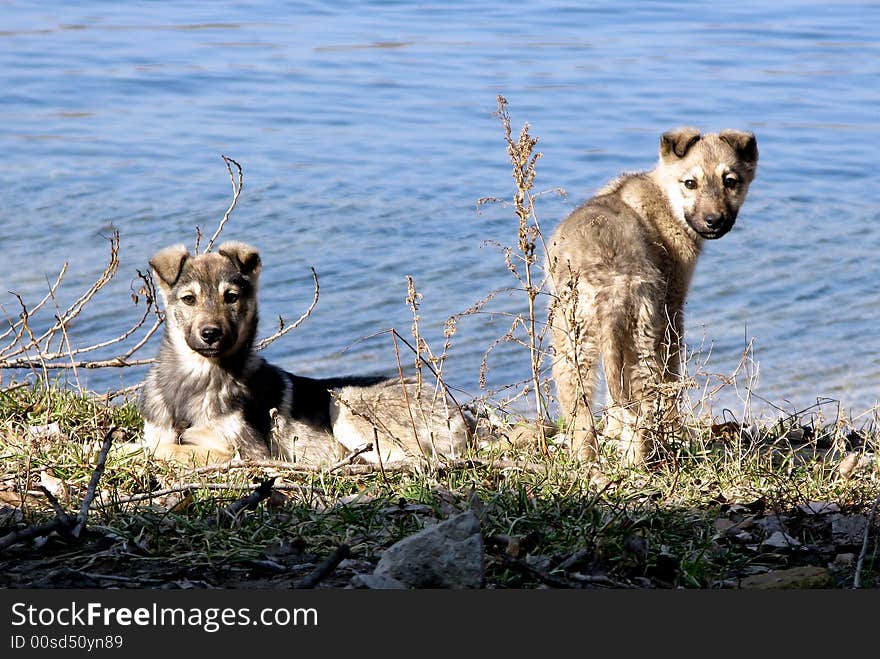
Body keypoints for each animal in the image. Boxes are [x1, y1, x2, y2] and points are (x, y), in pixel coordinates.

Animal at [139, 241, 474, 464]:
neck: (196, 378)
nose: (210, 334)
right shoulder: (157, 431)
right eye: (189, 299)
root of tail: (464, 417)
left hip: (345, 403)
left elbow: (171, 449)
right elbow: (152, 444)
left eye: (231, 297)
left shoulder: (251, 451)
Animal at [544, 129, 756, 466]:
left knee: (587, 413)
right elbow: (671, 380)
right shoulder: (673, 305)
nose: (714, 221)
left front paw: (614, 431)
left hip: (580, 344)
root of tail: (611, 284)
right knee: (641, 406)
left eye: (730, 181)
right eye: (690, 183)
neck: (665, 196)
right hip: (628, 340)